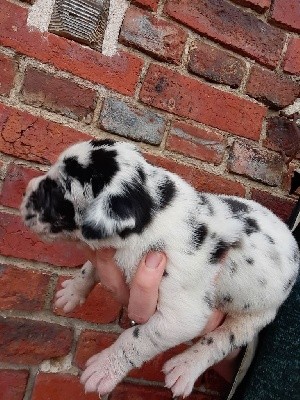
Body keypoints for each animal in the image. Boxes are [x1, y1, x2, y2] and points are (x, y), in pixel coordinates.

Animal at [20, 140, 298, 396]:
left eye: (56, 190)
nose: (26, 188)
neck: (152, 212)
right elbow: (90, 268)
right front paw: (72, 292)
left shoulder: (182, 316)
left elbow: (137, 338)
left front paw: (104, 369)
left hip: (257, 314)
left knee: (221, 340)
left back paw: (185, 367)